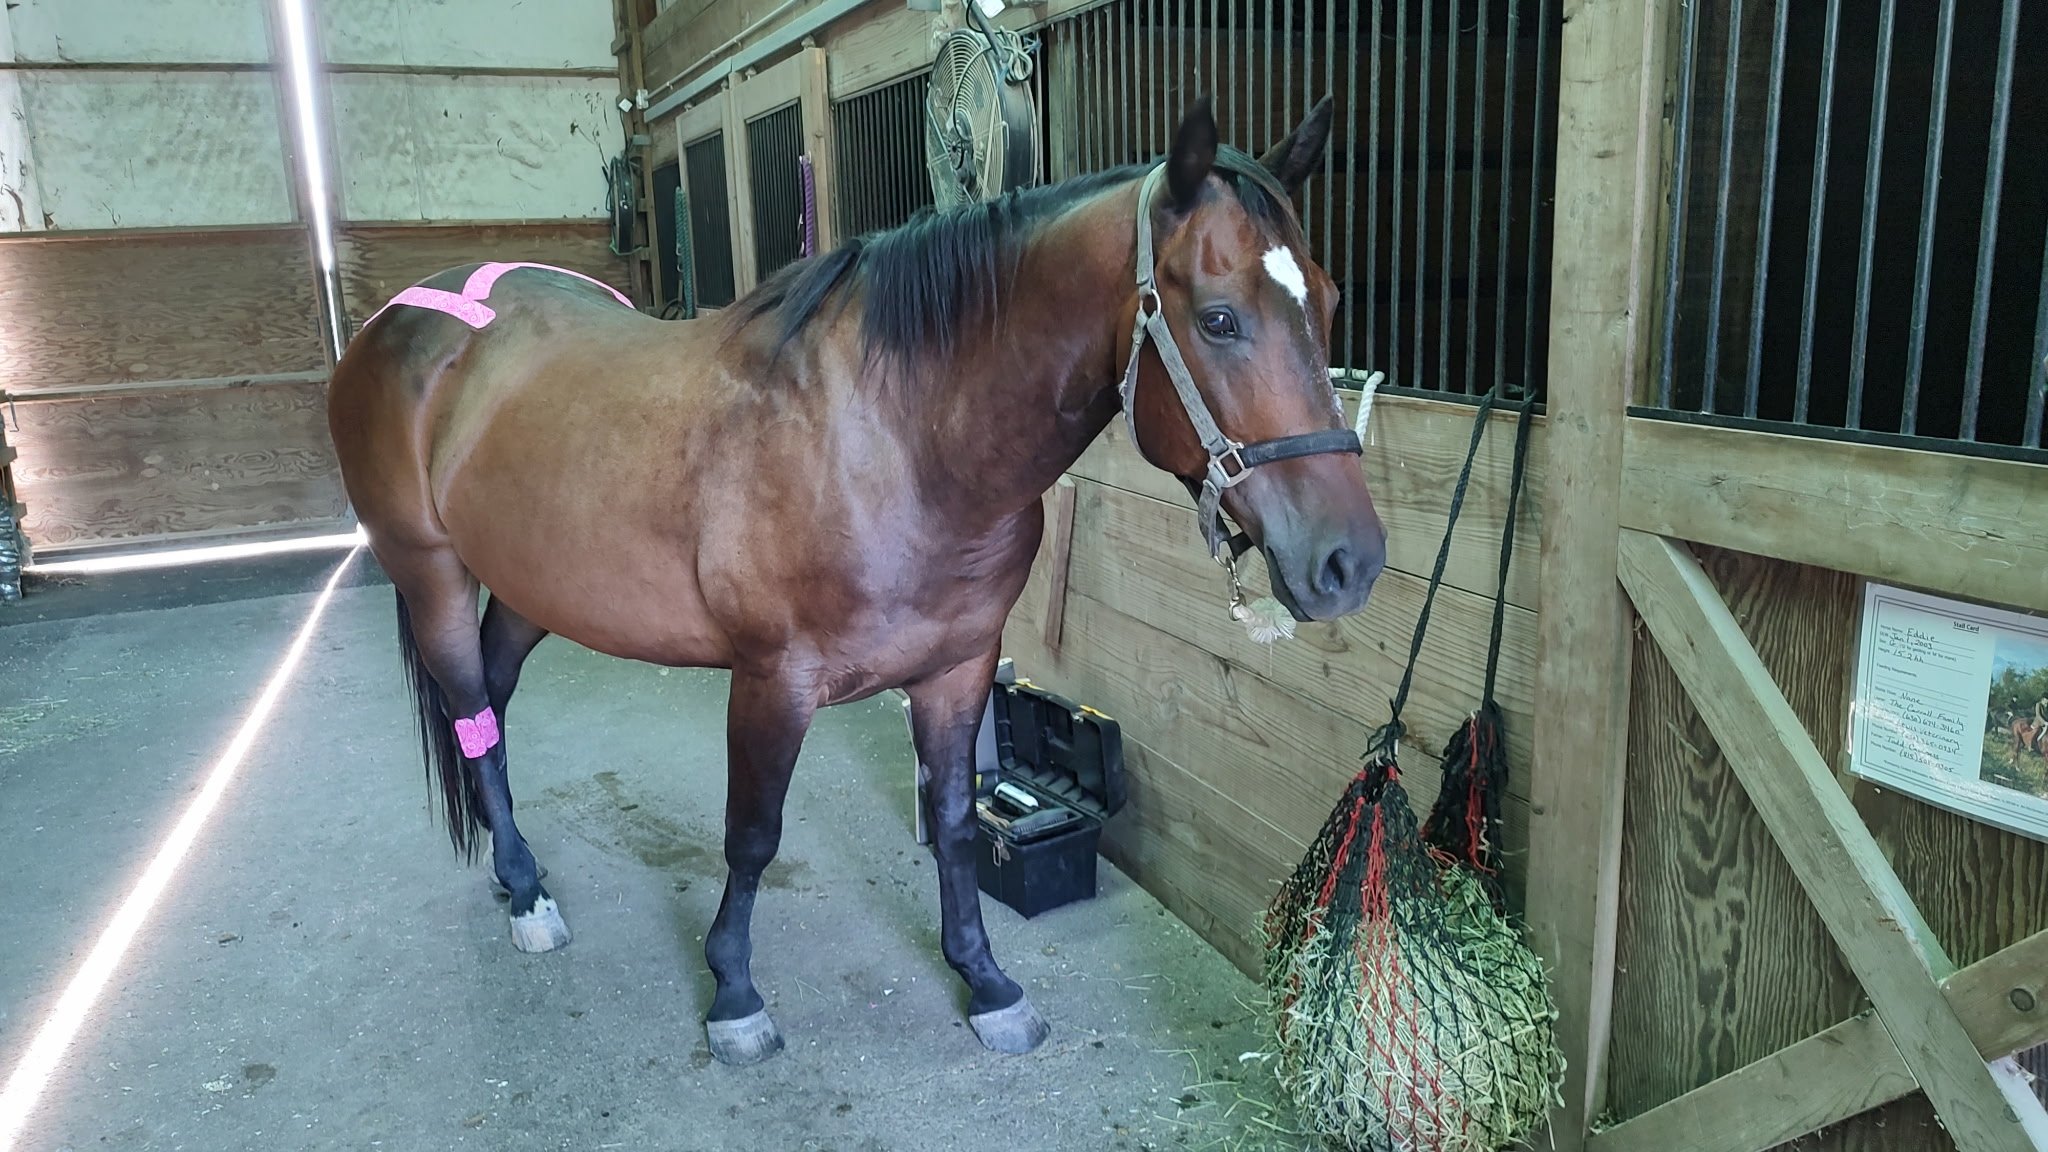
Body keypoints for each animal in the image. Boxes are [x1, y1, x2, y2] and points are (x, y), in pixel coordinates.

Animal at [326, 96, 1386, 1066]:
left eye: (1331, 302)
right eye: (1219, 318)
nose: (1350, 562)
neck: (898, 442)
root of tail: (408, 313)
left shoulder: (959, 667)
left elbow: (956, 824)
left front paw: (986, 980)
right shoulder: (772, 681)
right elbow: (752, 834)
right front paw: (734, 993)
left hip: (528, 587)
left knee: (492, 707)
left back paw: (517, 873)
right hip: (431, 574)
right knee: (471, 709)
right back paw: (527, 893)